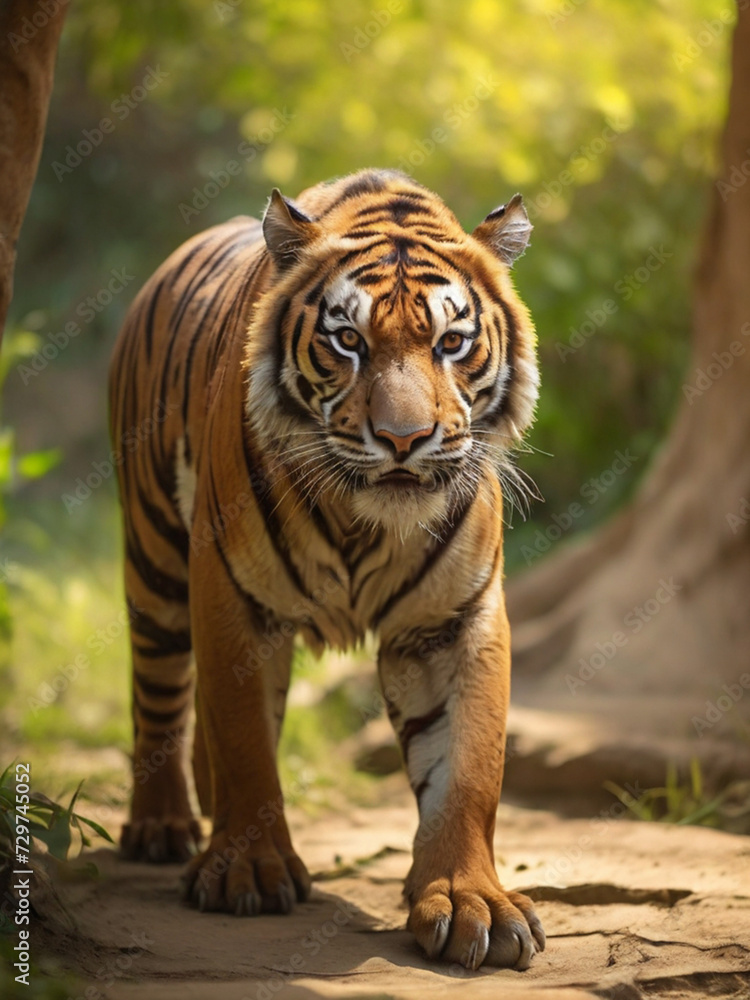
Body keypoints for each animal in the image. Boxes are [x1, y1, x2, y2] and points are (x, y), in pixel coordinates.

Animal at [108, 168, 544, 971]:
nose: (405, 438)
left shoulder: (453, 620)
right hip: (154, 564)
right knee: (158, 696)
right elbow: (244, 736)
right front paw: (247, 872)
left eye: (452, 342)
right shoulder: (231, 593)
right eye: (348, 340)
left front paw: (472, 901)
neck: (365, 521)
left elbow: (467, 766)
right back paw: (162, 828)